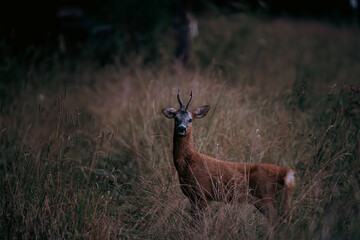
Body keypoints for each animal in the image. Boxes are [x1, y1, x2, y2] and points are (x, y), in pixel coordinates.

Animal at [163, 89, 296, 224]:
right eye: (176, 118)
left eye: (190, 119)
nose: (182, 128)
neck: (188, 162)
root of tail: (288, 174)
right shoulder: (192, 196)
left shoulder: (201, 194)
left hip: (268, 198)